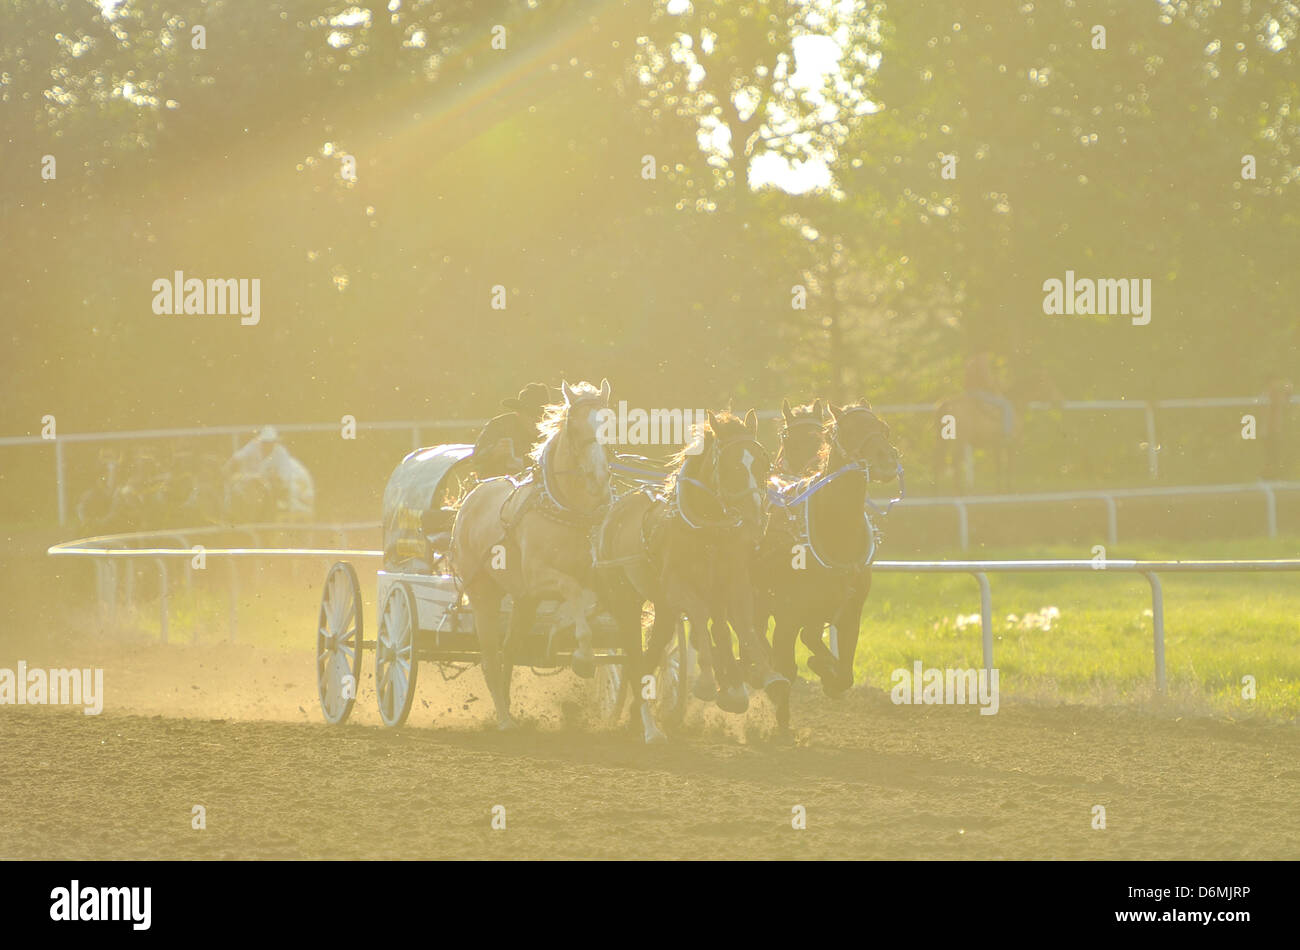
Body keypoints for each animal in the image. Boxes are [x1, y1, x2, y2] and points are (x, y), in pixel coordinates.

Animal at [452, 376, 613, 727]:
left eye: (610, 424)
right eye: (573, 427)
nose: (598, 478)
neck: (570, 511)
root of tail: (470, 499)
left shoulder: (593, 577)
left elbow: (589, 601)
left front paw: (561, 638)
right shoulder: (538, 578)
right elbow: (573, 590)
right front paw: (583, 656)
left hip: (524, 603)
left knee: (510, 649)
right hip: (484, 596)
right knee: (490, 657)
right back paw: (503, 719)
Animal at [595, 408, 785, 743]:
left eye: (763, 463)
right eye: (733, 465)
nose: (755, 517)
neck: (708, 530)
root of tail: (614, 512)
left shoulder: (734, 584)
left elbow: (741, 627)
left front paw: (758, 678)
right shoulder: (677, 588)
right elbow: (699, 617)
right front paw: (708, 682)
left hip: (663, 611)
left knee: (652, 653)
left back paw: (638, 720)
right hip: (625, 602)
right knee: (633, 656)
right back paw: (650, 728)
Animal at [759, 397, 899, 722]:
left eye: (883, 427)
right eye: (848, 430)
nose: (885, 462)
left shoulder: (849, 612)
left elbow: (844, 671)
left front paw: (826, 673)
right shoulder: (787, 615)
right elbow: (787, 668)